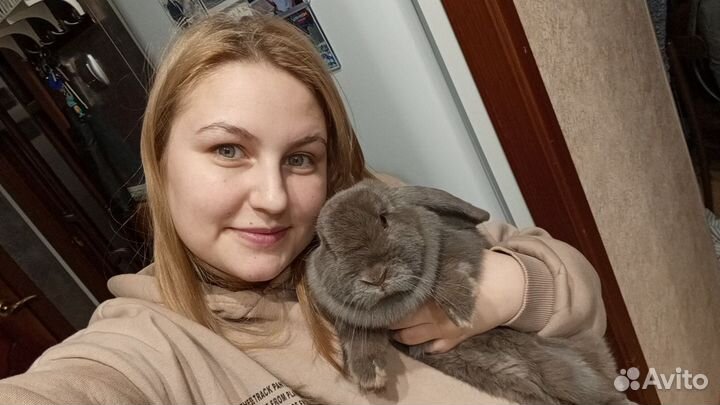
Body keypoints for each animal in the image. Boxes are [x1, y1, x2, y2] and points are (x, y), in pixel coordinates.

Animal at [306, 179, 632, 405]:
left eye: (384, 218)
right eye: (328, 246)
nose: (375, 277)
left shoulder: (458, 246)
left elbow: (450, 268)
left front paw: (461, 311)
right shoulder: (356, 321)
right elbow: (358, 338)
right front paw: (370, 376)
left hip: (573, 373)